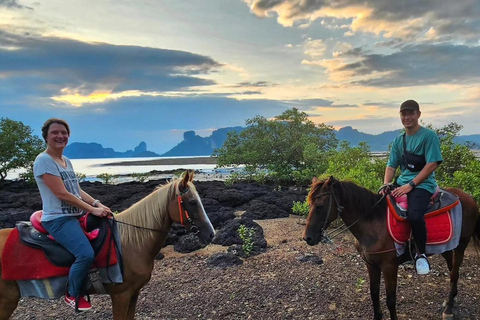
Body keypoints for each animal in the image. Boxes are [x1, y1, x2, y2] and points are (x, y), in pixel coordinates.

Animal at [0, 171, 214, 318]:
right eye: (192, 202)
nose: (211, 234)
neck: (130, 243)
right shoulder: (120, 295)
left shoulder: (133, 293)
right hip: (6, 301)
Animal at [304, 176, 480, 318]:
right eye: (310, 203)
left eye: (320, 206)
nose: (308, 238)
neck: (374, 223)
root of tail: (469, 198)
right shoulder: (371, 265)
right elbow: (374, 293)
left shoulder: (389, 266)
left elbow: (390, 300)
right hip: (447, 247)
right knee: (452, 270)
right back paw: (450, 300)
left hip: (461, 245)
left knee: (454, 273)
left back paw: (448, 309)